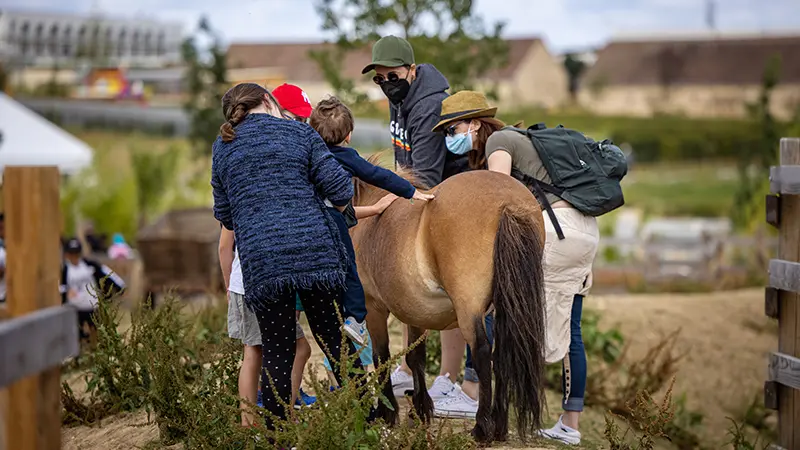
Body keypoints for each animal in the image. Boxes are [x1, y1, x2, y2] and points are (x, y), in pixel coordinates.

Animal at [352, 157, 552, 442]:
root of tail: (509, 204)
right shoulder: (415, 311)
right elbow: (416, 357)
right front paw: (421, 410)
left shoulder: (374, 309)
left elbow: (382, 357)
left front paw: (388, 412)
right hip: (504, 306)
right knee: (503, 355)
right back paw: (499, 426)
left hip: (469, 309)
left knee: (482, 353)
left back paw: (482, 428)